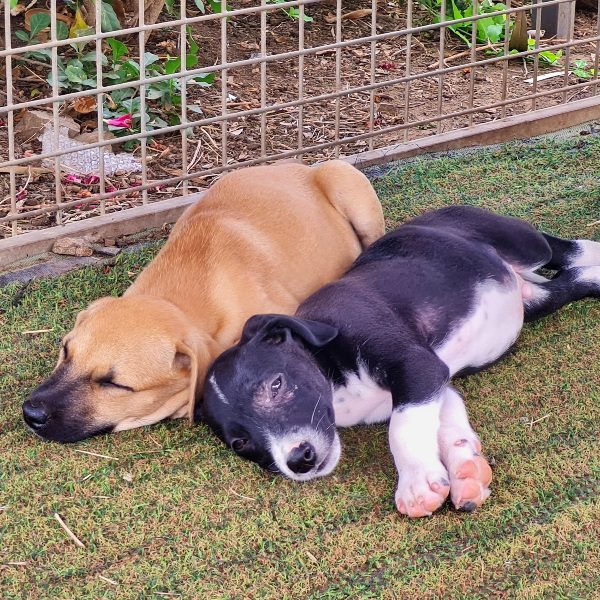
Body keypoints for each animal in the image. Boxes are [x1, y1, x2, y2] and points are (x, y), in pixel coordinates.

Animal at [22, 162, 384, 442]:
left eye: (114, 384)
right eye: (65, 351)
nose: (31, 413)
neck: (182, 294)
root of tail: (305, 168)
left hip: (346, 181)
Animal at [198, 205, 600, 516]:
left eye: (276, 384)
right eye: (240, 444)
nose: (299, 461)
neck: (332, 379)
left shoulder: (415, 366)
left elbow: (401, 428)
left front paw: (416, 483)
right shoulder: (434, 381)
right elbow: (442, 424)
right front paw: (465, 471)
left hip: (522, 242)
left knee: (566, 248)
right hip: (538, 301)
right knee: (575, 279)